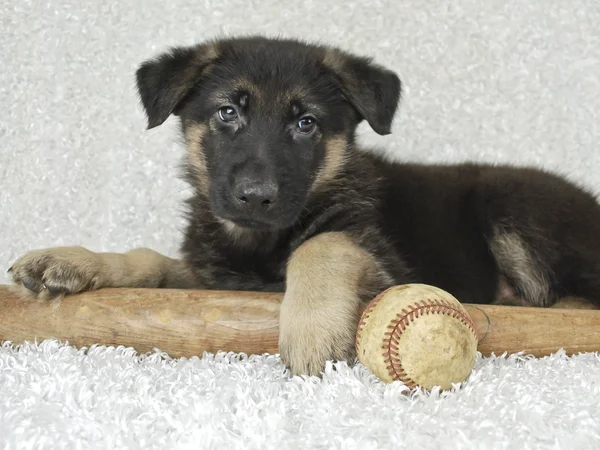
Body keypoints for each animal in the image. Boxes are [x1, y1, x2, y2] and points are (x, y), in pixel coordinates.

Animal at [8, 36, 600, 376]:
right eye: (227, 113)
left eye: (306, 123)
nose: (256, 195)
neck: (258, 241)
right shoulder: (215, 274)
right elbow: (151, 259)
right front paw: (75, 260)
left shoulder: (385, 263)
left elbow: (322, 243)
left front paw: (312, 329)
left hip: (512, 205)